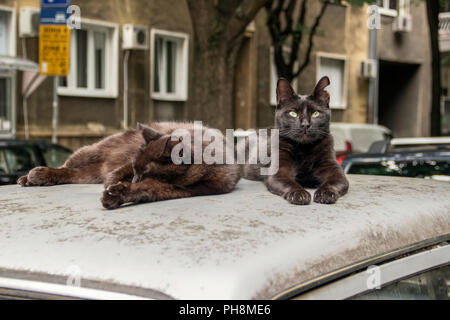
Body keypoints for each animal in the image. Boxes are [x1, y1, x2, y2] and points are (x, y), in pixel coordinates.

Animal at [244, 76, 350, 204]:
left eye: (315, 113)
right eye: (293, 113)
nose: (305, 124)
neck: (304, 149)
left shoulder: (333, 168)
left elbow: (335, 181)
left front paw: (325, 193)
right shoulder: (279, 170)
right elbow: (289, 183)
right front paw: (299, 193)